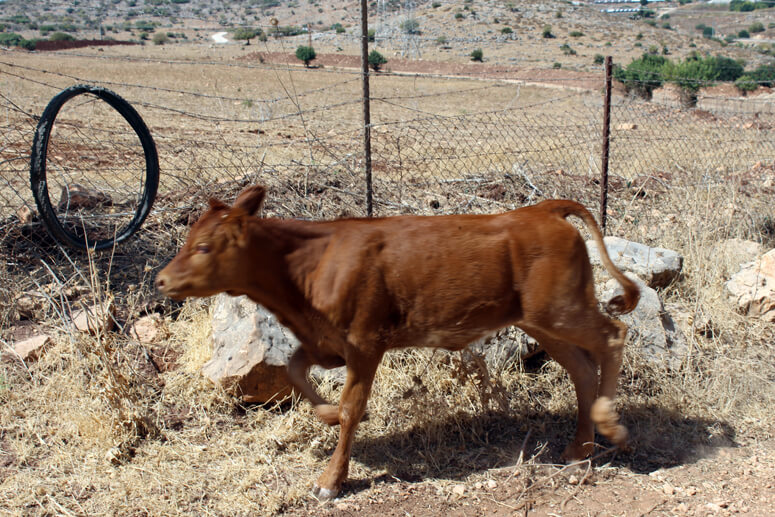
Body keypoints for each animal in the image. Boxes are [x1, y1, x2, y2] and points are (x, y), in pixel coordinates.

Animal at [155, 185, 640, 500]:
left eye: (202, 247)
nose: (161, 280)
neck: (305, 271)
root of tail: (543, 209)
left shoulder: (365, 342)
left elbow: (352, 408)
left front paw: (330, 481)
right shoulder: (326, 341)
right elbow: (295, 370)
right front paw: (324, 415)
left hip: (560, 310)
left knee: (613, 336)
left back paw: (611, 425)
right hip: (542, 322)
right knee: (583, 369)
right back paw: (579, 451)